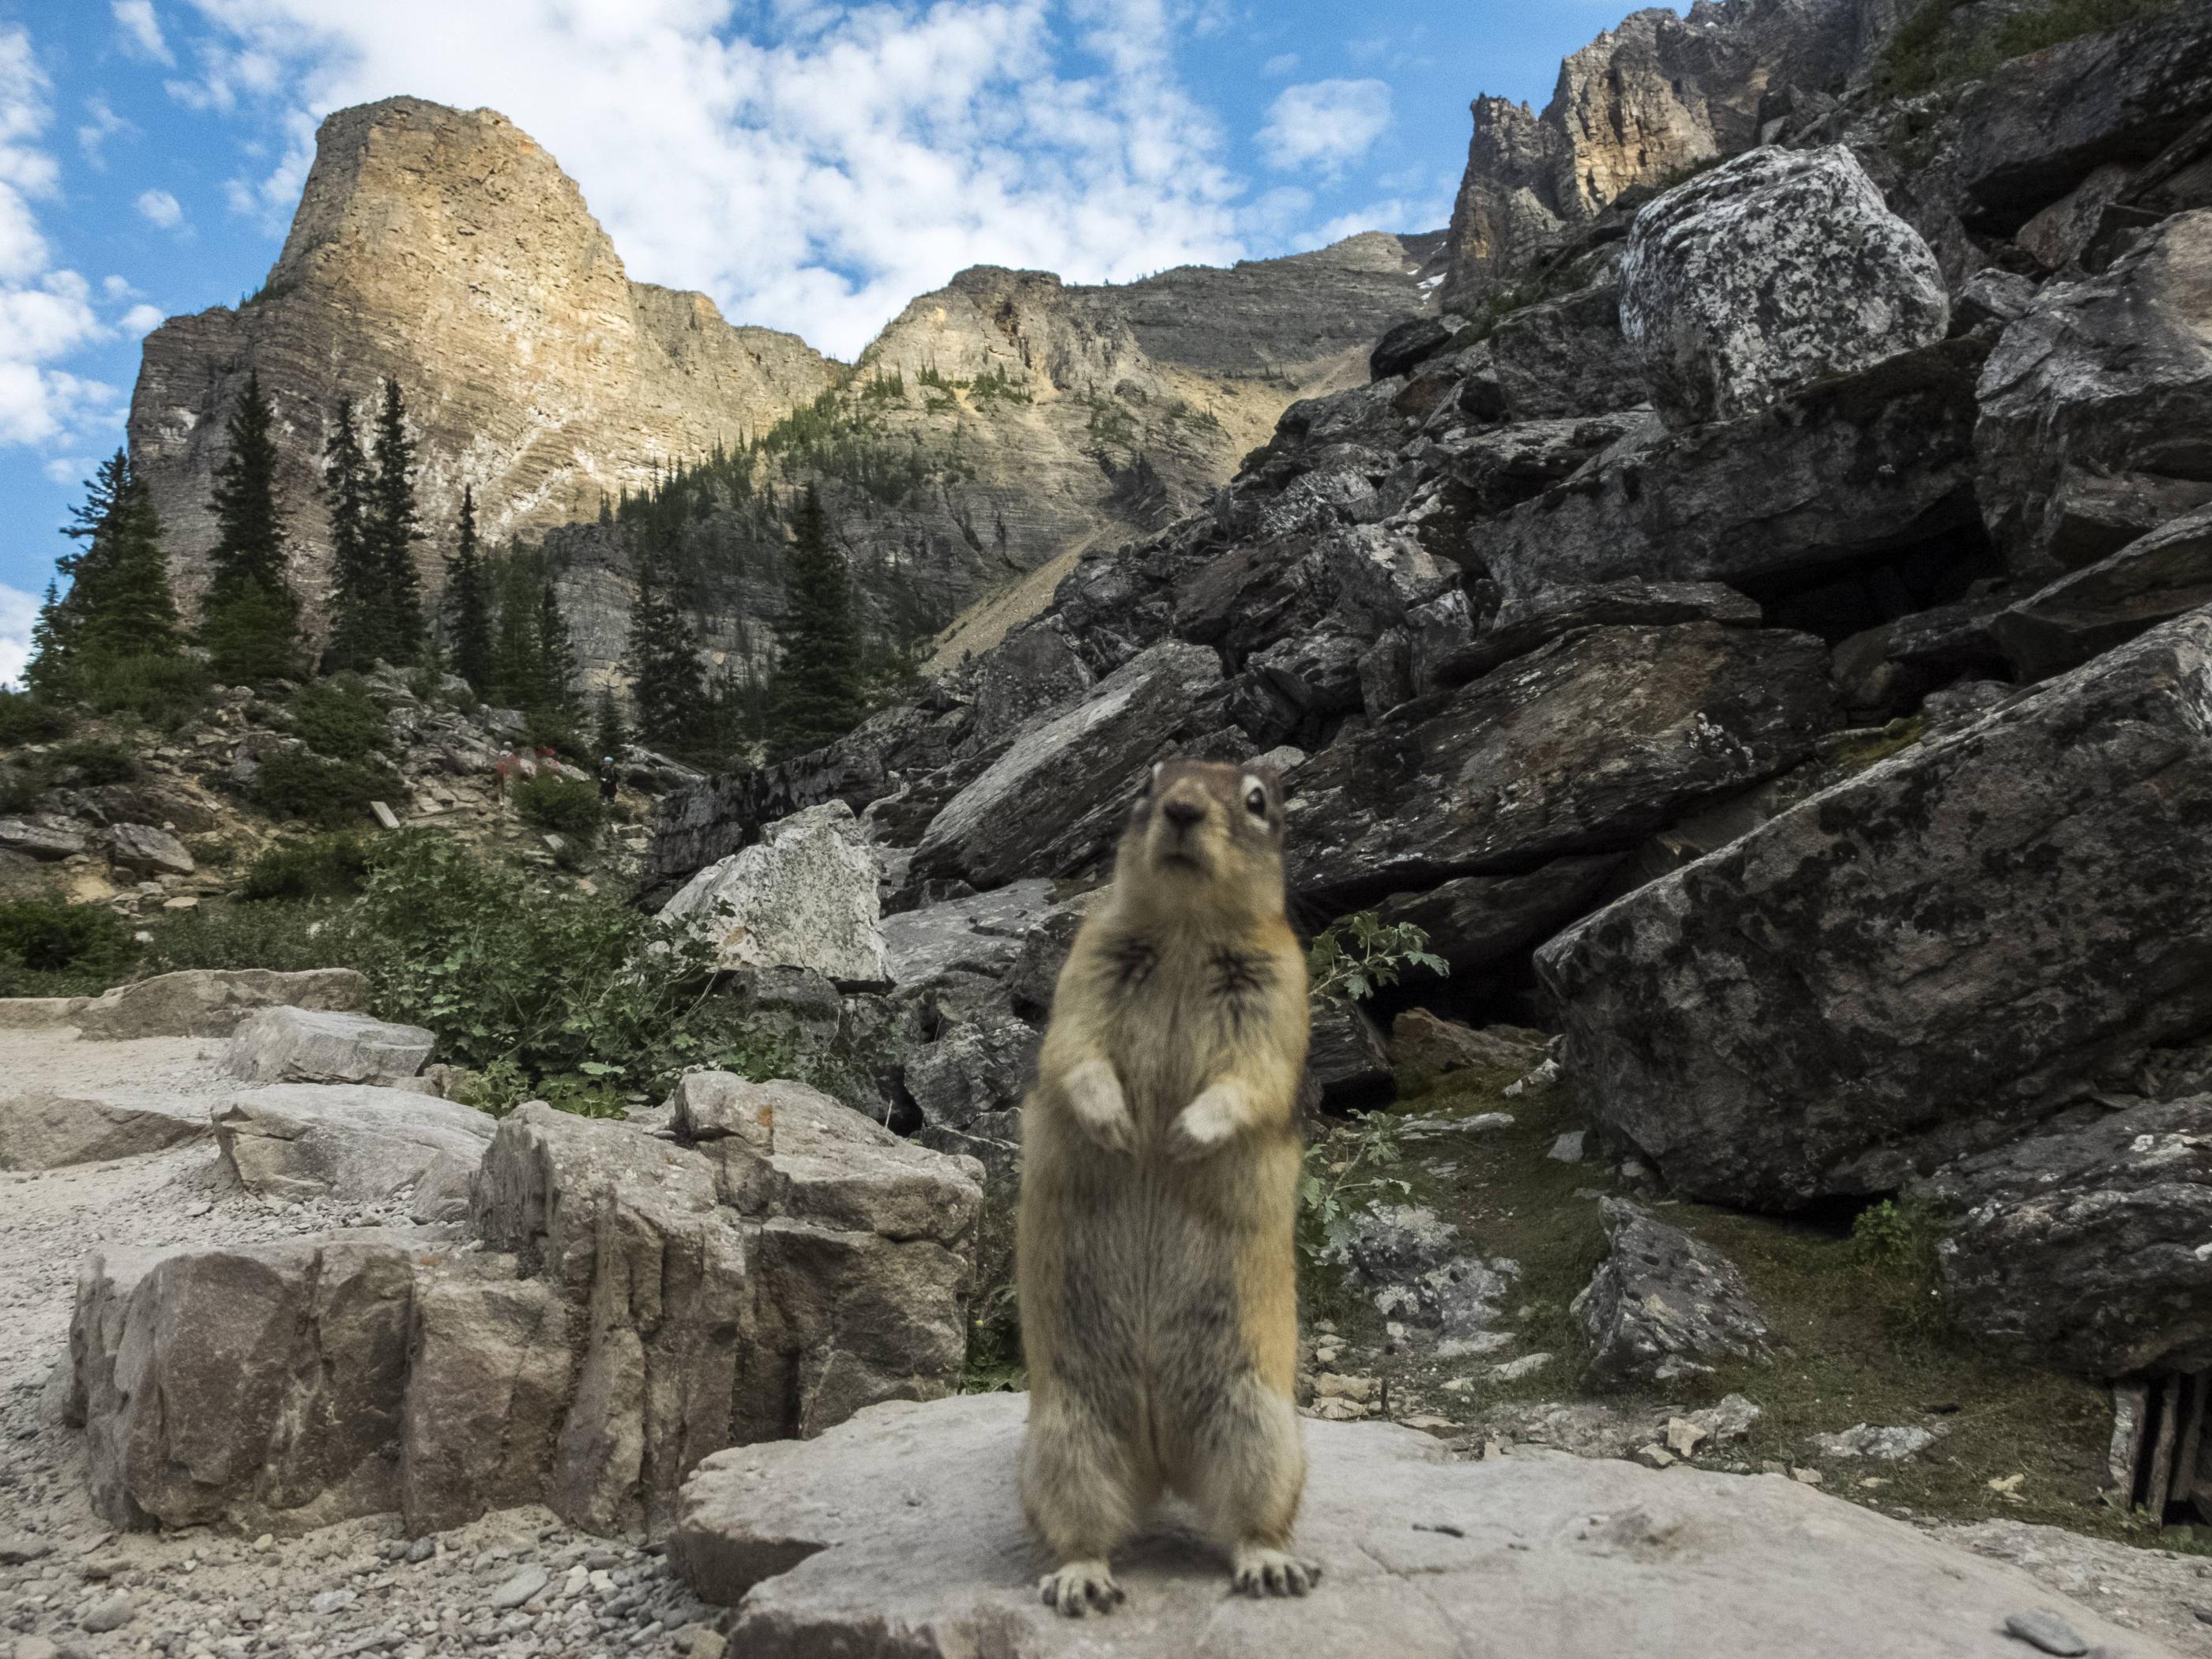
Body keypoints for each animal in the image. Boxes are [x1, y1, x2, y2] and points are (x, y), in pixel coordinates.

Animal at [1013, 761, 1309, 1619]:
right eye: (1149, 781)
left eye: (1256, 799)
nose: (1179, 809)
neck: (1184, 930)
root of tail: (1162, 1462)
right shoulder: (1085, 964)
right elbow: (1072, 1050)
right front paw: (1118, 1125)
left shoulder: (1282, 987)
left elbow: (1251, 1077)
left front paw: (1181, 1135)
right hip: (1064, 1437)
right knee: (1081, 1526)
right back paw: (1081, 1580)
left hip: (1262, 1429)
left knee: (1255, 1516)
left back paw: (1270, 1565)